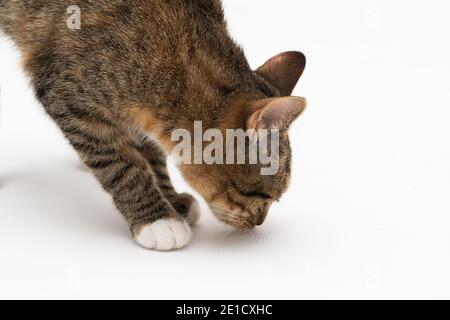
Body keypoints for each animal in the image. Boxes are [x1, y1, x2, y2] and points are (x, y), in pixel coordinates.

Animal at [0, 0, 306, 251]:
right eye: (257, 194)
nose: (259, 222)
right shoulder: (68, 96)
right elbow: (122, 166)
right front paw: (157, 219)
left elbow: (151, 153)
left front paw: (171, 200)